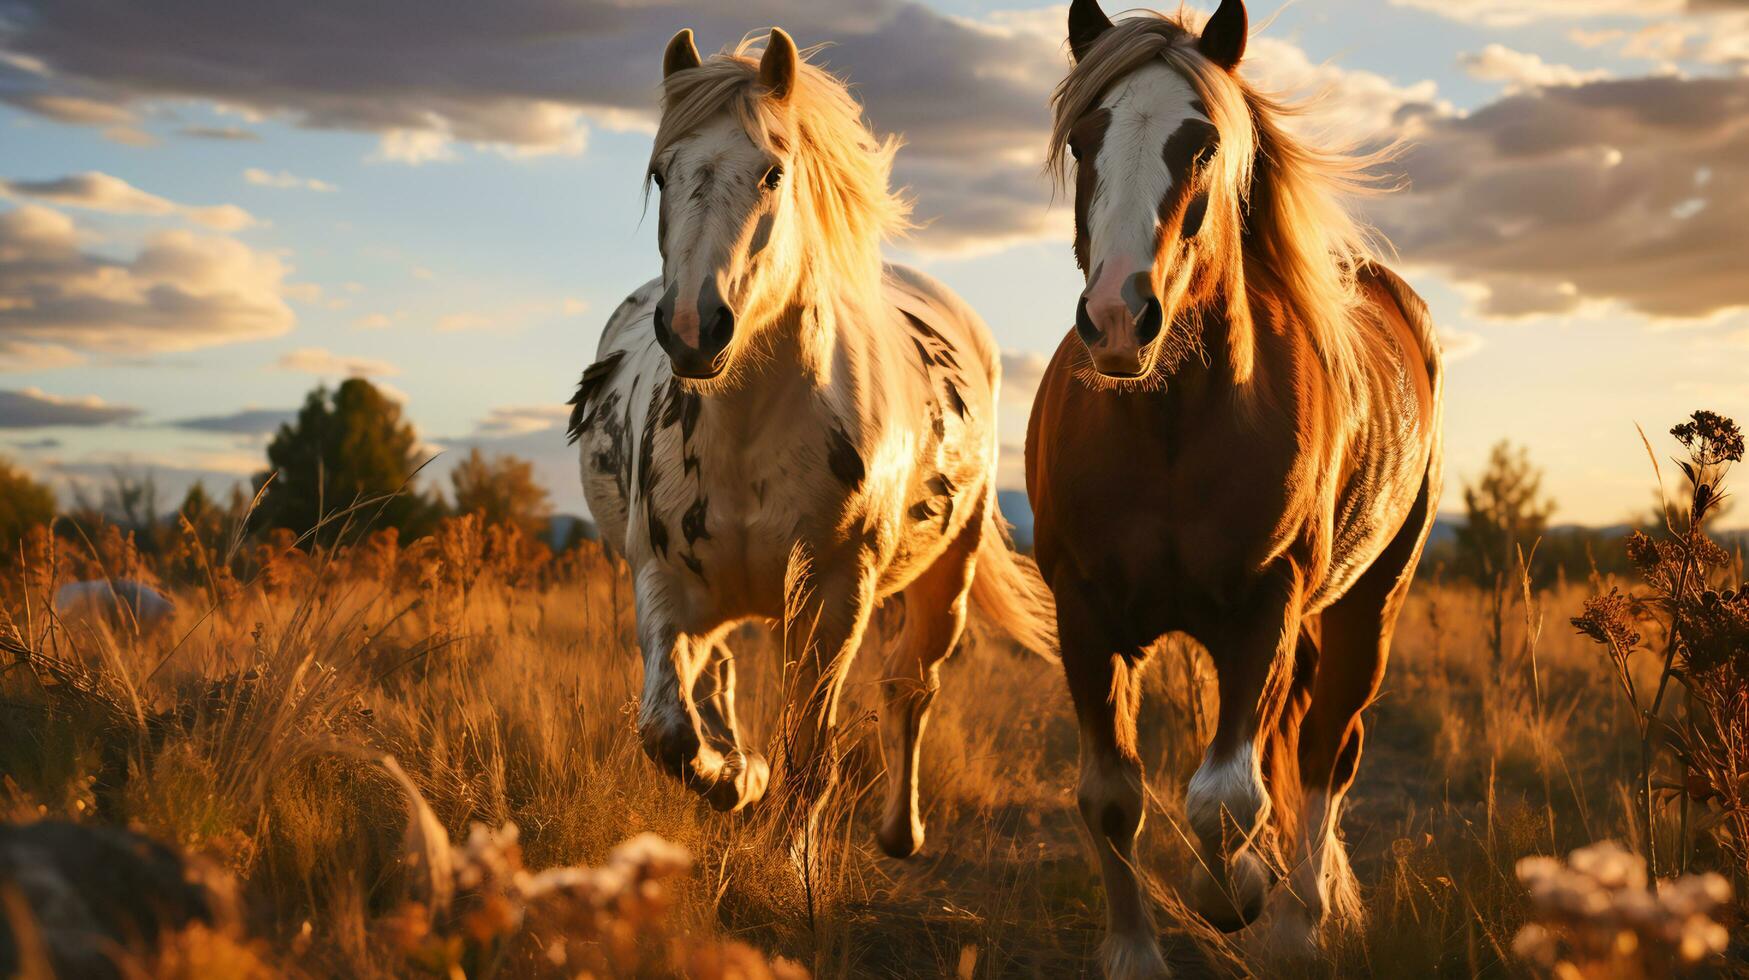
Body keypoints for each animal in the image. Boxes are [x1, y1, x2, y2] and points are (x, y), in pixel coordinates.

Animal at [570, 28, 1049, 857]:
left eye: (772, 171)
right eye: (661, 173)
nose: (693, 330)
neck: (747, 432)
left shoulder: (834, 595)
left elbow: (809, 755)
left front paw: (789, 853)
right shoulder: (664, 580)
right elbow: (668, 730)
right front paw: (736, 778)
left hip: (944, 578)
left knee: (910, 685)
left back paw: (899, 831)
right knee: (717, 673)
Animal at [1021, 0, 1448, 973]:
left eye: (1203, 145)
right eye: (1086, 137)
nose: (1116, 317)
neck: (1169, 428)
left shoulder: (1265, 604)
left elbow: (1226, 799)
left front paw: (1237, 891)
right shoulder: (1083, 611)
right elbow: (1111, 795)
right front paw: (1134, 952)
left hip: (1368, 604)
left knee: (1328, 750)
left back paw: (1297, 919)